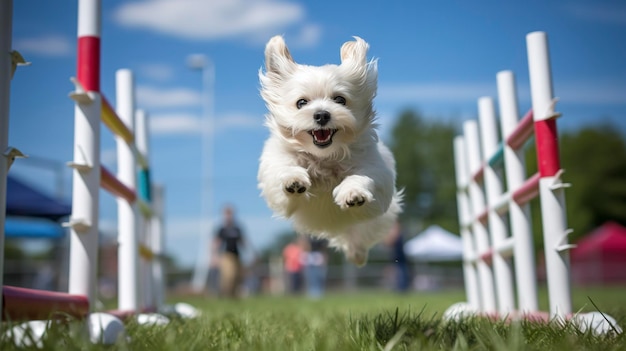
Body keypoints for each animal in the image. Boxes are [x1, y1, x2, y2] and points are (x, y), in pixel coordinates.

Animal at [256, 35, 402, 266]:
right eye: (301, 103)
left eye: (340, 99)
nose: (322, 114)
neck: (323, 158)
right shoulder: (276, 187)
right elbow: (284, 173)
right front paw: (293, 181)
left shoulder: (378, 182)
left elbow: (363, 178)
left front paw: (353, 193)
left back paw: (357, 254)